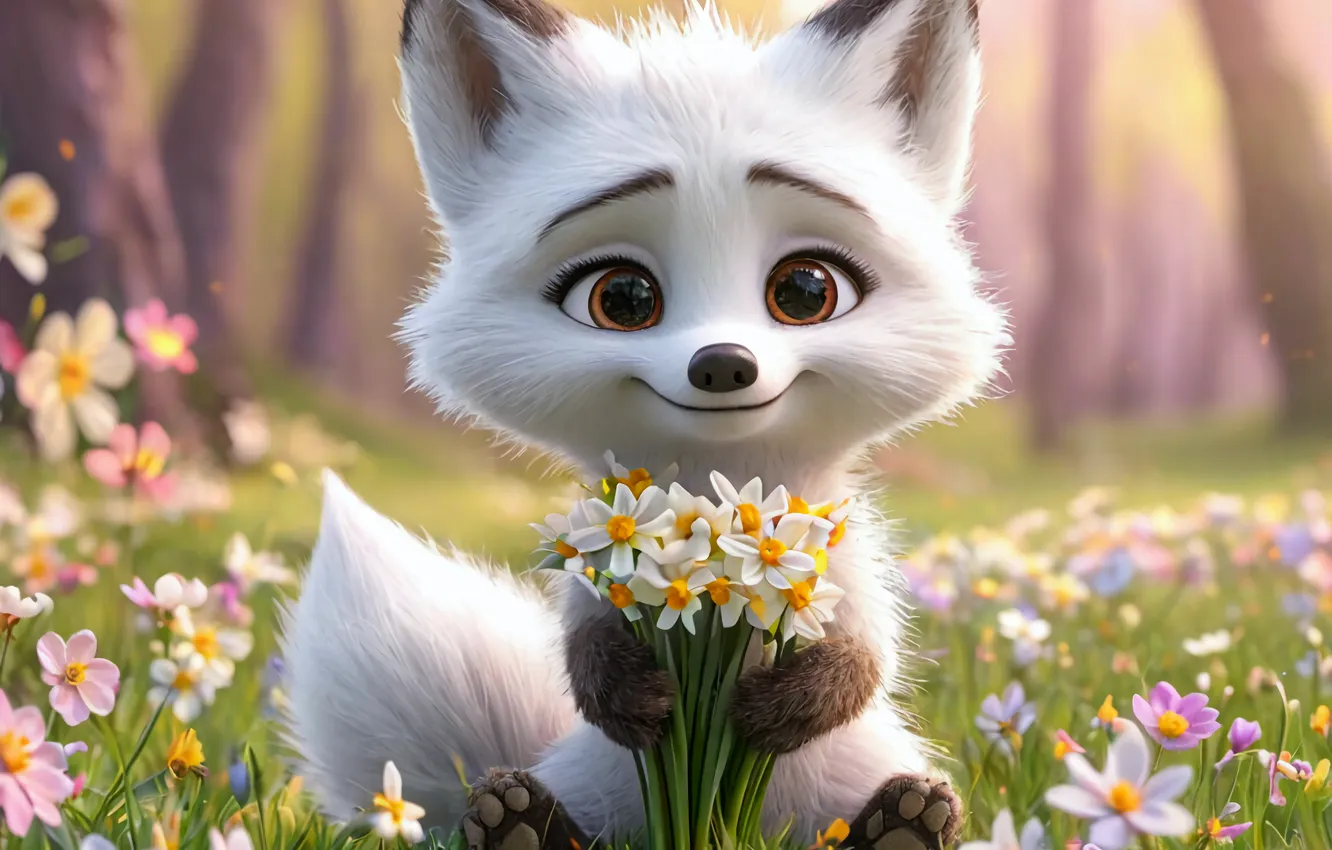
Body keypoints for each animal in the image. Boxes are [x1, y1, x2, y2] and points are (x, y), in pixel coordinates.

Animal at [280, 0, 1008, 846]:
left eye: (806, 289)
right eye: (622, 298)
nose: (722, 364)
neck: (720, 494)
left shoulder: (844, 572)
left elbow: (867, 659)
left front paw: (774, 712)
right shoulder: (598, 580)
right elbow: (585, 651)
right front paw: (639, 701)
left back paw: (903, 820)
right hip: (594, 784)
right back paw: (519, 819)